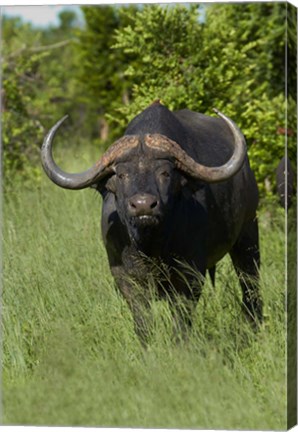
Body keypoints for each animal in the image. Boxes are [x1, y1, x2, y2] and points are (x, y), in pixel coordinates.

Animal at [40, 101, 262, 340]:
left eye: (165, 173)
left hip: (248, 234)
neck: (150, 246)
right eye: (121, 175)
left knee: (250, 282)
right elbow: (142, 318)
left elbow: (181, 317)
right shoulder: (124, 276)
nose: (143, 205)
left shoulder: (190, 273)